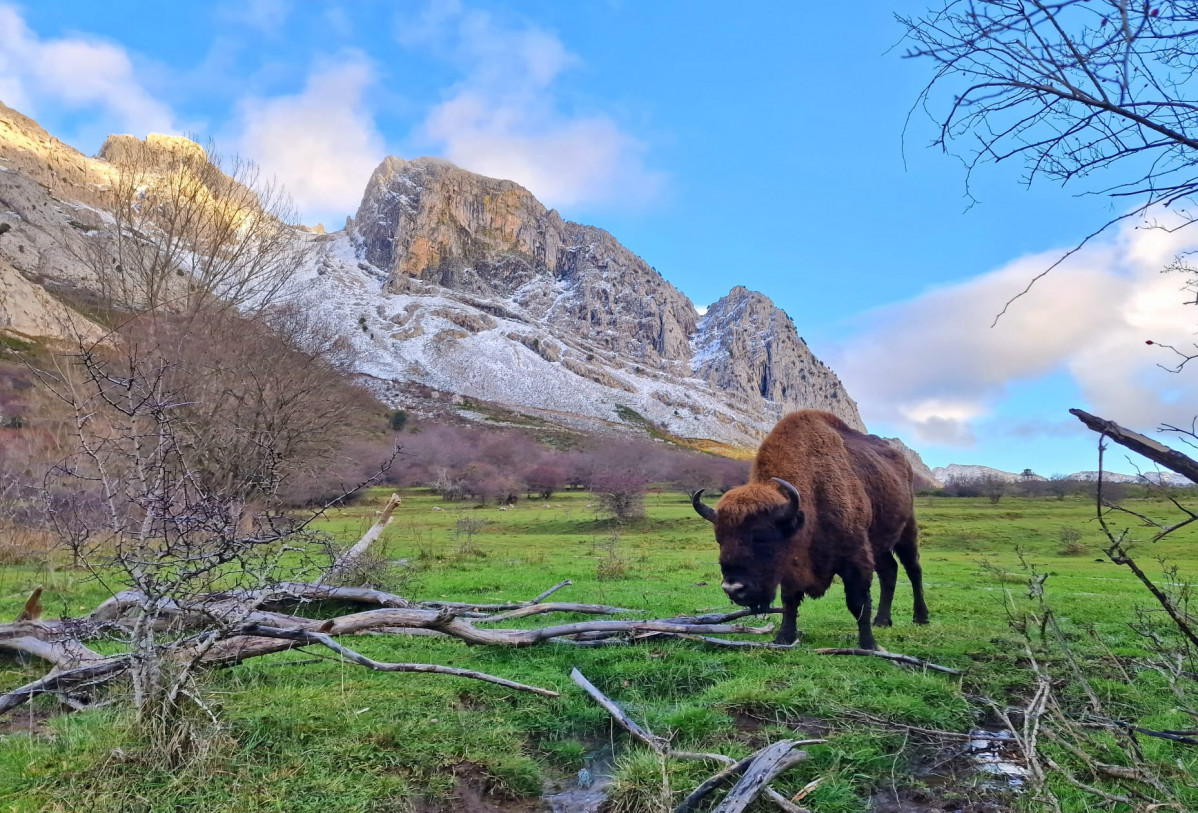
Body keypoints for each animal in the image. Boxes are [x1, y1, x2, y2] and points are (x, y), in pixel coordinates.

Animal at [694, 409, 924, 651]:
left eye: (762, 537)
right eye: (719, 539)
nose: (732, 588)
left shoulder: (856, 557)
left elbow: (858, 603)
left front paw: (869, 645)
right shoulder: (791, 567)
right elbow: (790, 601)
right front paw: (783, 638)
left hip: (906, 530)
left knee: (913, 569)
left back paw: (920, 617)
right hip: (879, 545)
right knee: (889, 570)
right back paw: (882, 621)